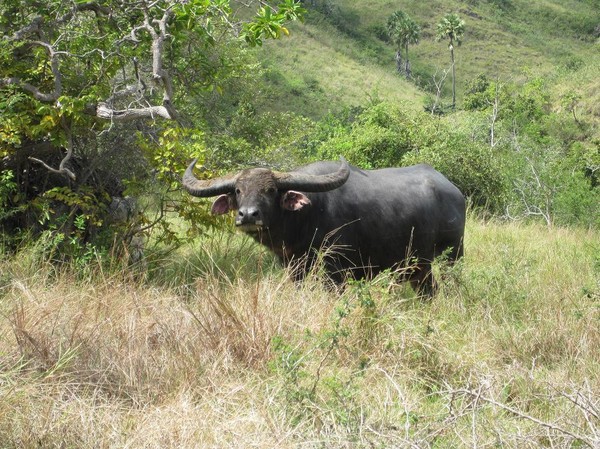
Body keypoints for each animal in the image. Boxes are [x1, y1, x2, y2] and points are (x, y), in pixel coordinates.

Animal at [182, 156, 464, 296]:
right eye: (239, 190)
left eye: (271, 190)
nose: (248, 215)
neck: (305, 218)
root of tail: (455, 192)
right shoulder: (293, 266)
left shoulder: (334, 268)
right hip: (419, 266)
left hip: (452, 256)